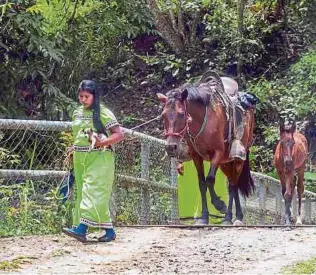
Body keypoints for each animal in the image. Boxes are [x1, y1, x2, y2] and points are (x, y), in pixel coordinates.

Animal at [157, 74, 256, 225]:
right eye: (163, 115)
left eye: (181, 114)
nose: (170, 147)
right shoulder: (196, 156)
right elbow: (202, 184)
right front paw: (203, 217)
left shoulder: (218, 153)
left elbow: (209, 180)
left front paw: (219, 205)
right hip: (226, 163)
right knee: (232, 183)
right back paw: (238, 216)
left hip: (238, 157)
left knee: (233, 185)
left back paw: (229, 218)